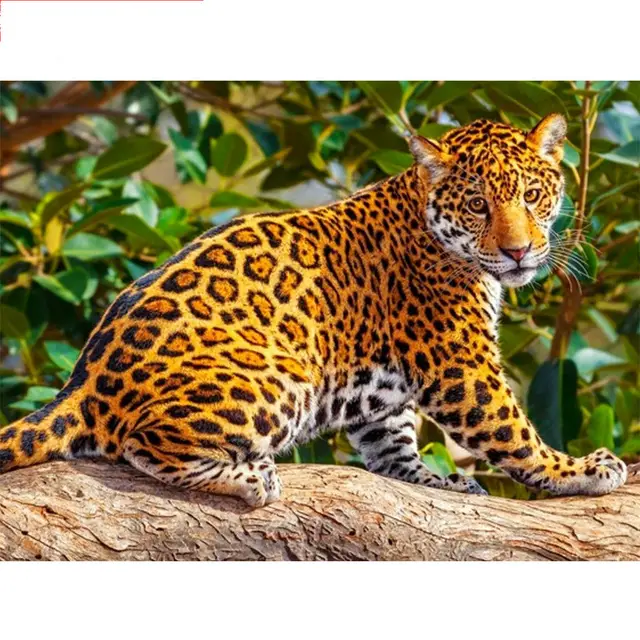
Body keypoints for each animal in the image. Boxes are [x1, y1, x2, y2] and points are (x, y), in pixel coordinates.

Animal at [0, 114, 627, 507]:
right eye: (477, 205)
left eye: (531, 196)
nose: (519, 251)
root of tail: (82, 384)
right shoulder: (462, 365)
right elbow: (514, 434)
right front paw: (579, 470)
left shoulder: (385, 397)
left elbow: (391, 448)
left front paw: (438, 482)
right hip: (280, 374)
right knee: (144, 442)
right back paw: (251, 478)